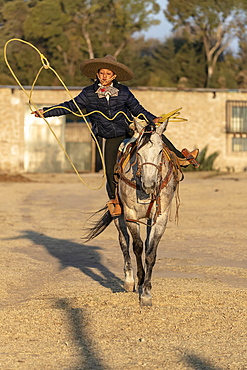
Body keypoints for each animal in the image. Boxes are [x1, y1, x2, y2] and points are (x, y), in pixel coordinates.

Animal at [84, 119, 178, 306]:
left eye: (160, 150)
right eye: (139, 152)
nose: (149, 184)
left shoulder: (160, 218)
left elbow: (150, 252)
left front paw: (147, 293)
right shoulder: (130, 215)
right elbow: (137, 246)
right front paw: (140, 280)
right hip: (118, 215)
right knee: (124, 241)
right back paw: (129, 280)